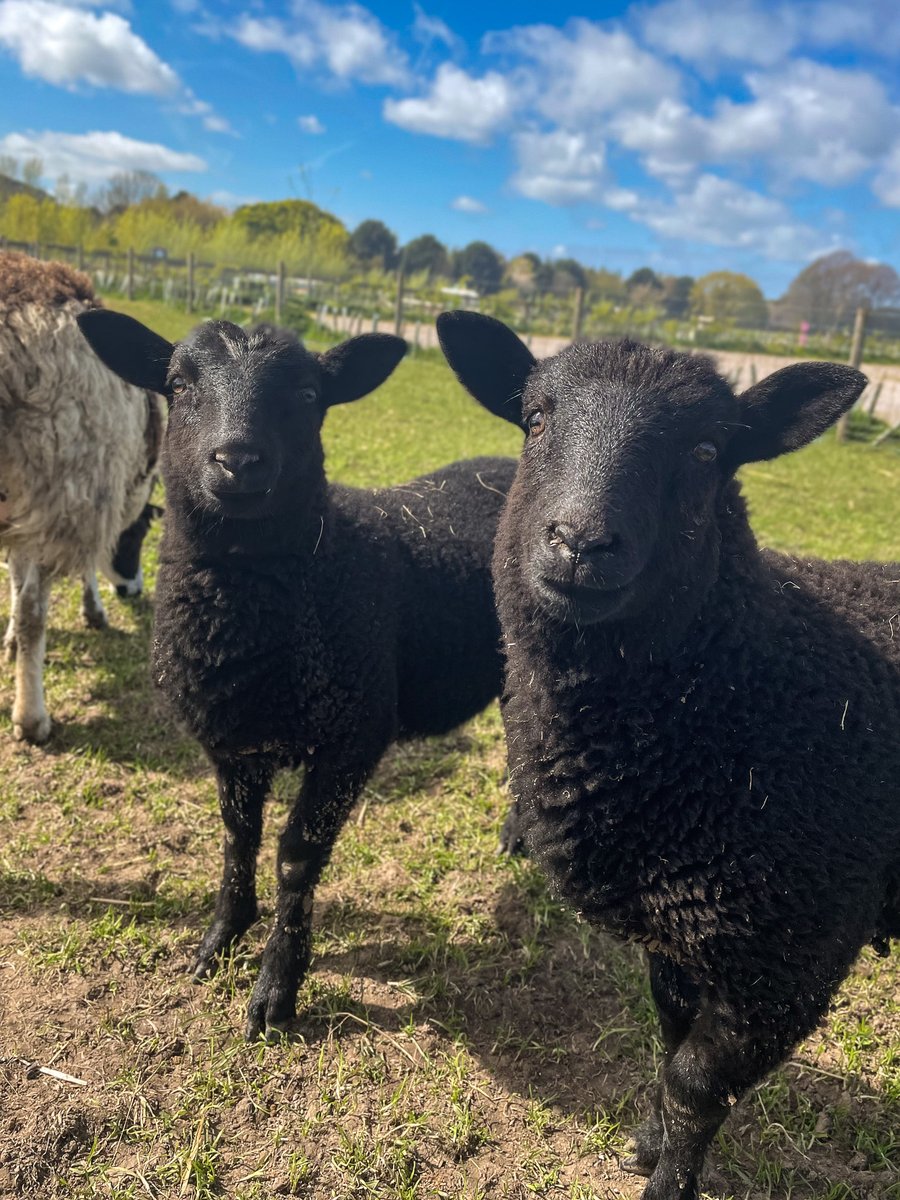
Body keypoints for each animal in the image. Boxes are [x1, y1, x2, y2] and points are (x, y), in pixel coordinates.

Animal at [0, 252, 165, 742]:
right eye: (140, 533)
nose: (133, 591)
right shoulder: (89, 491)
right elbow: (81, 568)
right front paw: (94, 611)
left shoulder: (27, 507)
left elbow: (14, 577)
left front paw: (8, 641)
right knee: (35, 612)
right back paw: (32, 718)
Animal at [77, 309, 517, 1041]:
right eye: (178, 384)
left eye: (310, 396)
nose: (238, 460)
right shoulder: (231, 741)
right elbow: (238, 837)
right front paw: (219, 941)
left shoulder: (353, 737)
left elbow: (294, 856)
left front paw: (275, 992)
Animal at [437, 310, 900, 1200]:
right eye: (535, 419)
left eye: (708, 451)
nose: (580, 542)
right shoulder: (680, 929)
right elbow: (669, 1033)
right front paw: (650, 1141)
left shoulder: (791, 953)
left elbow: (698, 1081)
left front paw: (668, 1179)